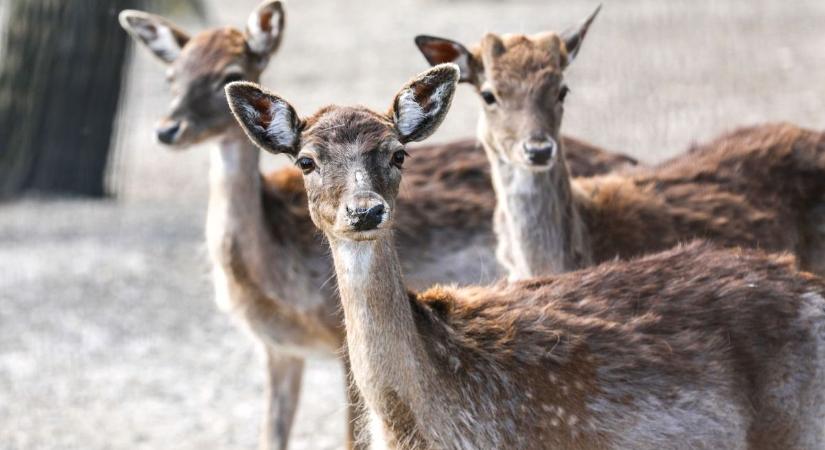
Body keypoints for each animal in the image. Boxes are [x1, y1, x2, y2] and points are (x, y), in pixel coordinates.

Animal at [117, 1, 636, 448]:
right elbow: (271, 436)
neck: (274, 271)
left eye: (228, 74)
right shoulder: (276, 350)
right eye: (171, 75)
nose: (167, 129)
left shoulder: (338, 343)